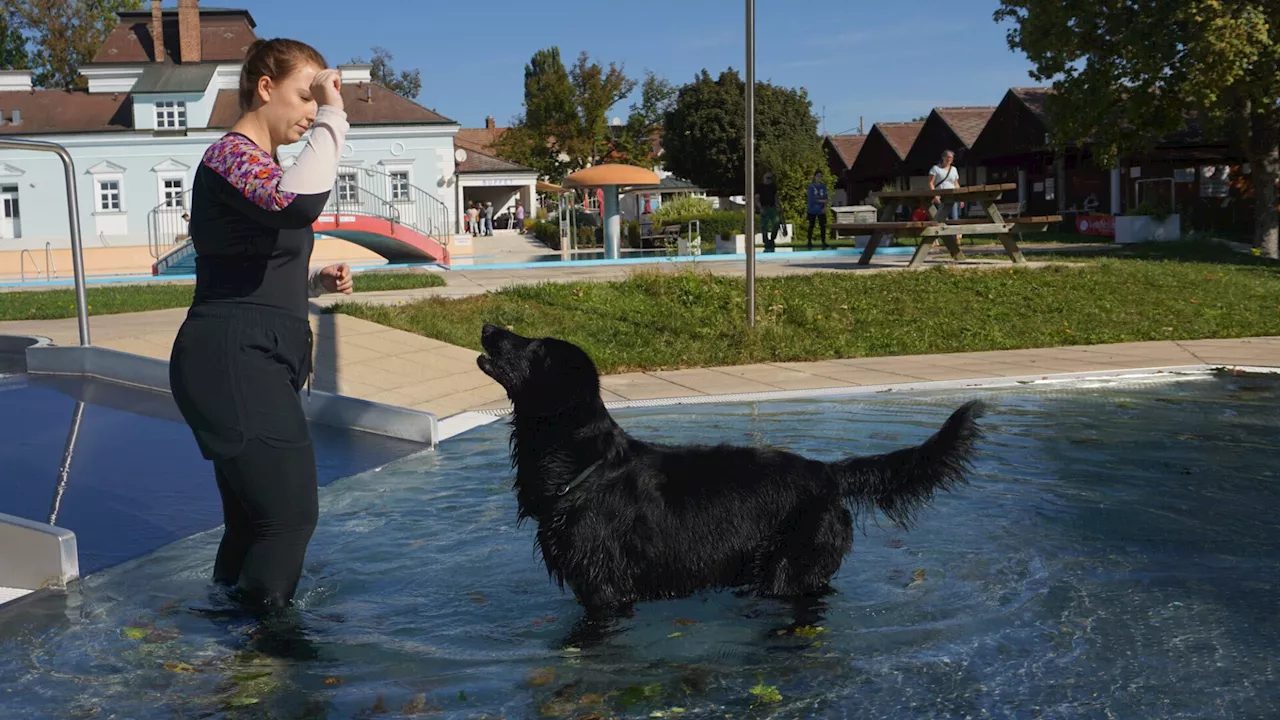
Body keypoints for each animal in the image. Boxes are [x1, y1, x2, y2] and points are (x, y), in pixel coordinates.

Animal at [481, 325, 988, 622]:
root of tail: (827, 473)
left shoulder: (606, 588)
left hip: (790, 570)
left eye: (535, 348)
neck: (583, 465)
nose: (488, 327)